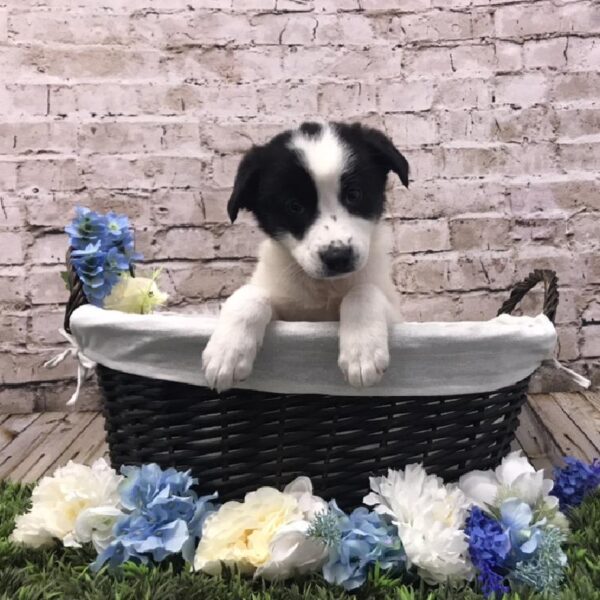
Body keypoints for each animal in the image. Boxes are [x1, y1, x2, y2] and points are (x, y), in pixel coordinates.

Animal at [202, 122, 408, 394]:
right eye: (294, 206)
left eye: (354, 195)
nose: (338, 257)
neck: (324, 288)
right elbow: (251, 294)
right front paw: (227, 352)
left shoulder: (395, 311)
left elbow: (363, 291)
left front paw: (362, 353)